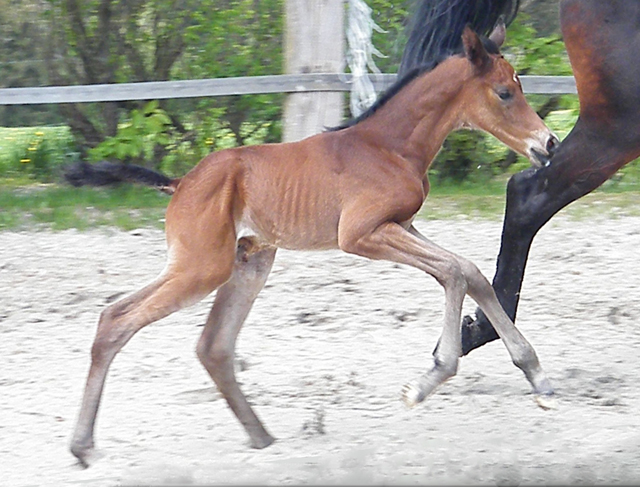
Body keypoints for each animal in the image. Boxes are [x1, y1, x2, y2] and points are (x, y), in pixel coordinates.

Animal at [71, 24, 560, 468]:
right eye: (504, 93)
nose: (549, 144)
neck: (388, 146)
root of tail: (180, 183)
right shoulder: (361, 234)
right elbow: (455, 271)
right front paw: (430, 377)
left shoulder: (401, 224)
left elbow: (469, 270)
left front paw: (536, 374)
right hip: (202, 267)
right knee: (122, 321)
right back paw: (83, 446)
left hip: (245, 262)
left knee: (197, 340)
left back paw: (260, 438)